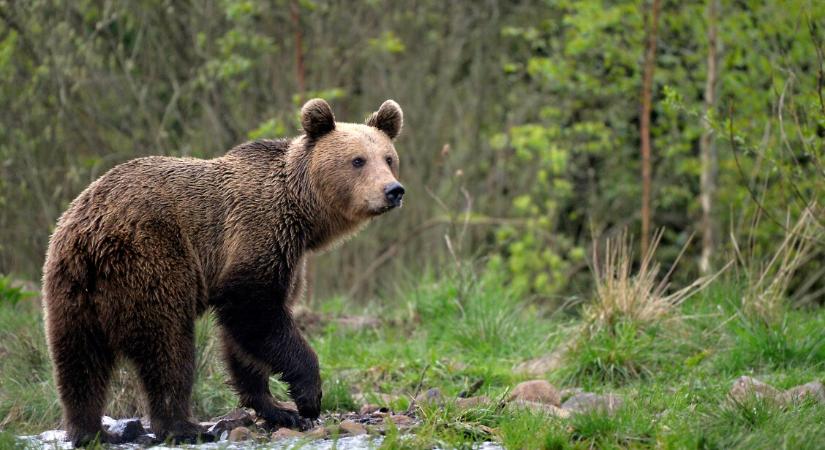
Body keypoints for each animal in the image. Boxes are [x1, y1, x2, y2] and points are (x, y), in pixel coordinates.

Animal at [40, 98, 408, 446]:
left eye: (388, 158)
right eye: (357, 160)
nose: (393, 190)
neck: (302, 214)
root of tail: (91, 233)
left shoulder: (288, 257)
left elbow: (244, 340)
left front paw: (277, 408)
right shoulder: (258, 236)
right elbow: (255, 313)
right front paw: (307, 398)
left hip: (70, 288)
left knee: (79, 362)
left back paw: (90, 431)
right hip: (151, 260)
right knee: (168, 346)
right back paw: (184, 426)